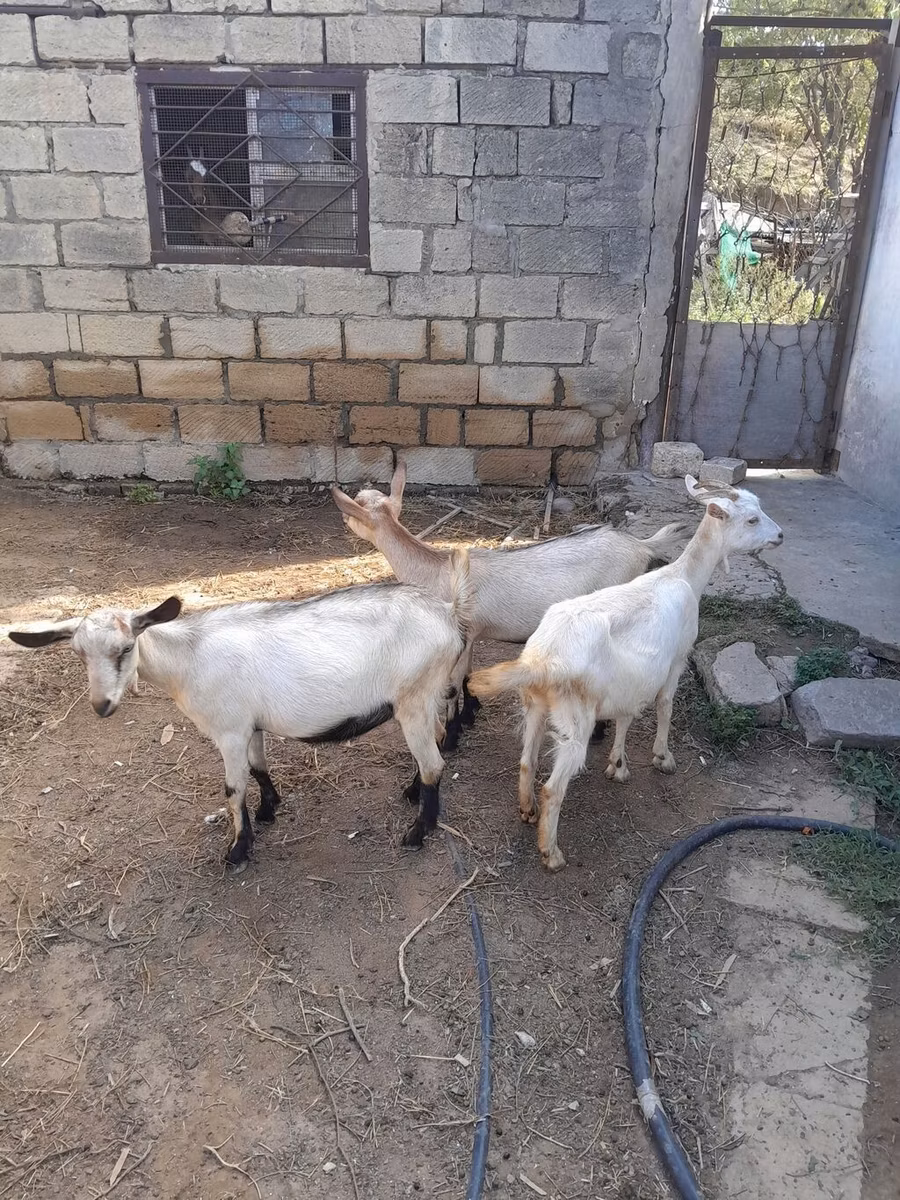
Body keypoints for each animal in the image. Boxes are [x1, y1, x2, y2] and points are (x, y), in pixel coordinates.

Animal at [8, 560, 471, 871]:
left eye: (124, 649)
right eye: (78, 654)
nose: (102, 706)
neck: (188, 658)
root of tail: (448, 615)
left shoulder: (228, 730)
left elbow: (233, 788)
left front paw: (238, 849)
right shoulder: (250, 725)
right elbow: (259, 767)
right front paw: (268, 810)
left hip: (413, 697)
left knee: (434, 763)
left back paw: (418, 832)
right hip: (422, 698)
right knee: (432, 742)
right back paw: (412, 792)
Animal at [331, 461, 688, 749]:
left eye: (355, 507)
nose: (344, 517)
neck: (434, 569)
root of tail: (641, 545)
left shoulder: (457, 634)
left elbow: (450, 688)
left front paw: (452, 736)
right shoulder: (470, 635)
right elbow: (467, 676)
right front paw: (471, 713)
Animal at [467, 476, 783, 871]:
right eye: (752, 519)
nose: (780, 535)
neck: (682, 576)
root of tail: (543, 659)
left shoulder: (629, 682)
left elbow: (626, 717)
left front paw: (617, 765)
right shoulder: (677, 659)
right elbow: (665, 706)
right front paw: (663, 758)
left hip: (536, 705)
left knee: (526, 761)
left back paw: (527, 810)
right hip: (576, 720)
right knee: (553, 787)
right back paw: (551, 852)